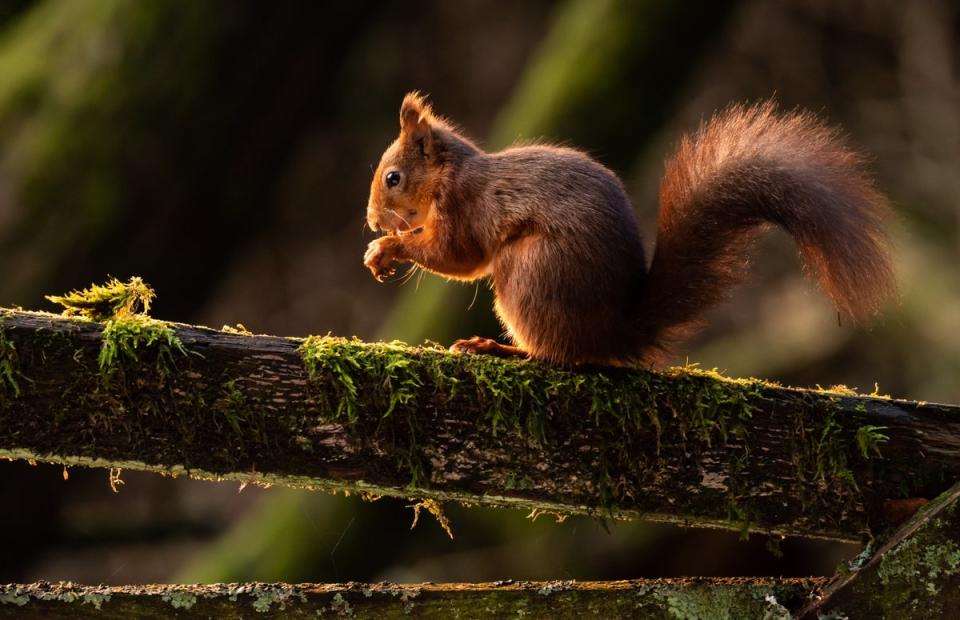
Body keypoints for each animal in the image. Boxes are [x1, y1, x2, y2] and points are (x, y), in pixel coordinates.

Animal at [364, 91, 896, 364]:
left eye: (393, 178)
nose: (370, 219)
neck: (447, 175)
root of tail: (614, 333)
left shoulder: (463, 207)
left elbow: (458, 257)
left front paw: (387, 248)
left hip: (530, 270)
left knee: (559, 357)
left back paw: (496, 347)